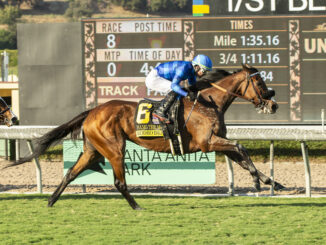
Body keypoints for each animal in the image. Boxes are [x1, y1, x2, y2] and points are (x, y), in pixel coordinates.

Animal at [6, 64, 284, 210]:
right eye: (260, 83)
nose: (273, 104)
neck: (208, 101)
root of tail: (92, 111)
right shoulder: (208, 143)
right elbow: (241, 148)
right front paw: (258, 182)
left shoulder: (217, 144)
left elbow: (241, 155)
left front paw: (270, 182)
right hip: (114, 147)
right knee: (118, 182)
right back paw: (136, 206)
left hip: (92, 149)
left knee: (71, 173)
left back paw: (51, 200)